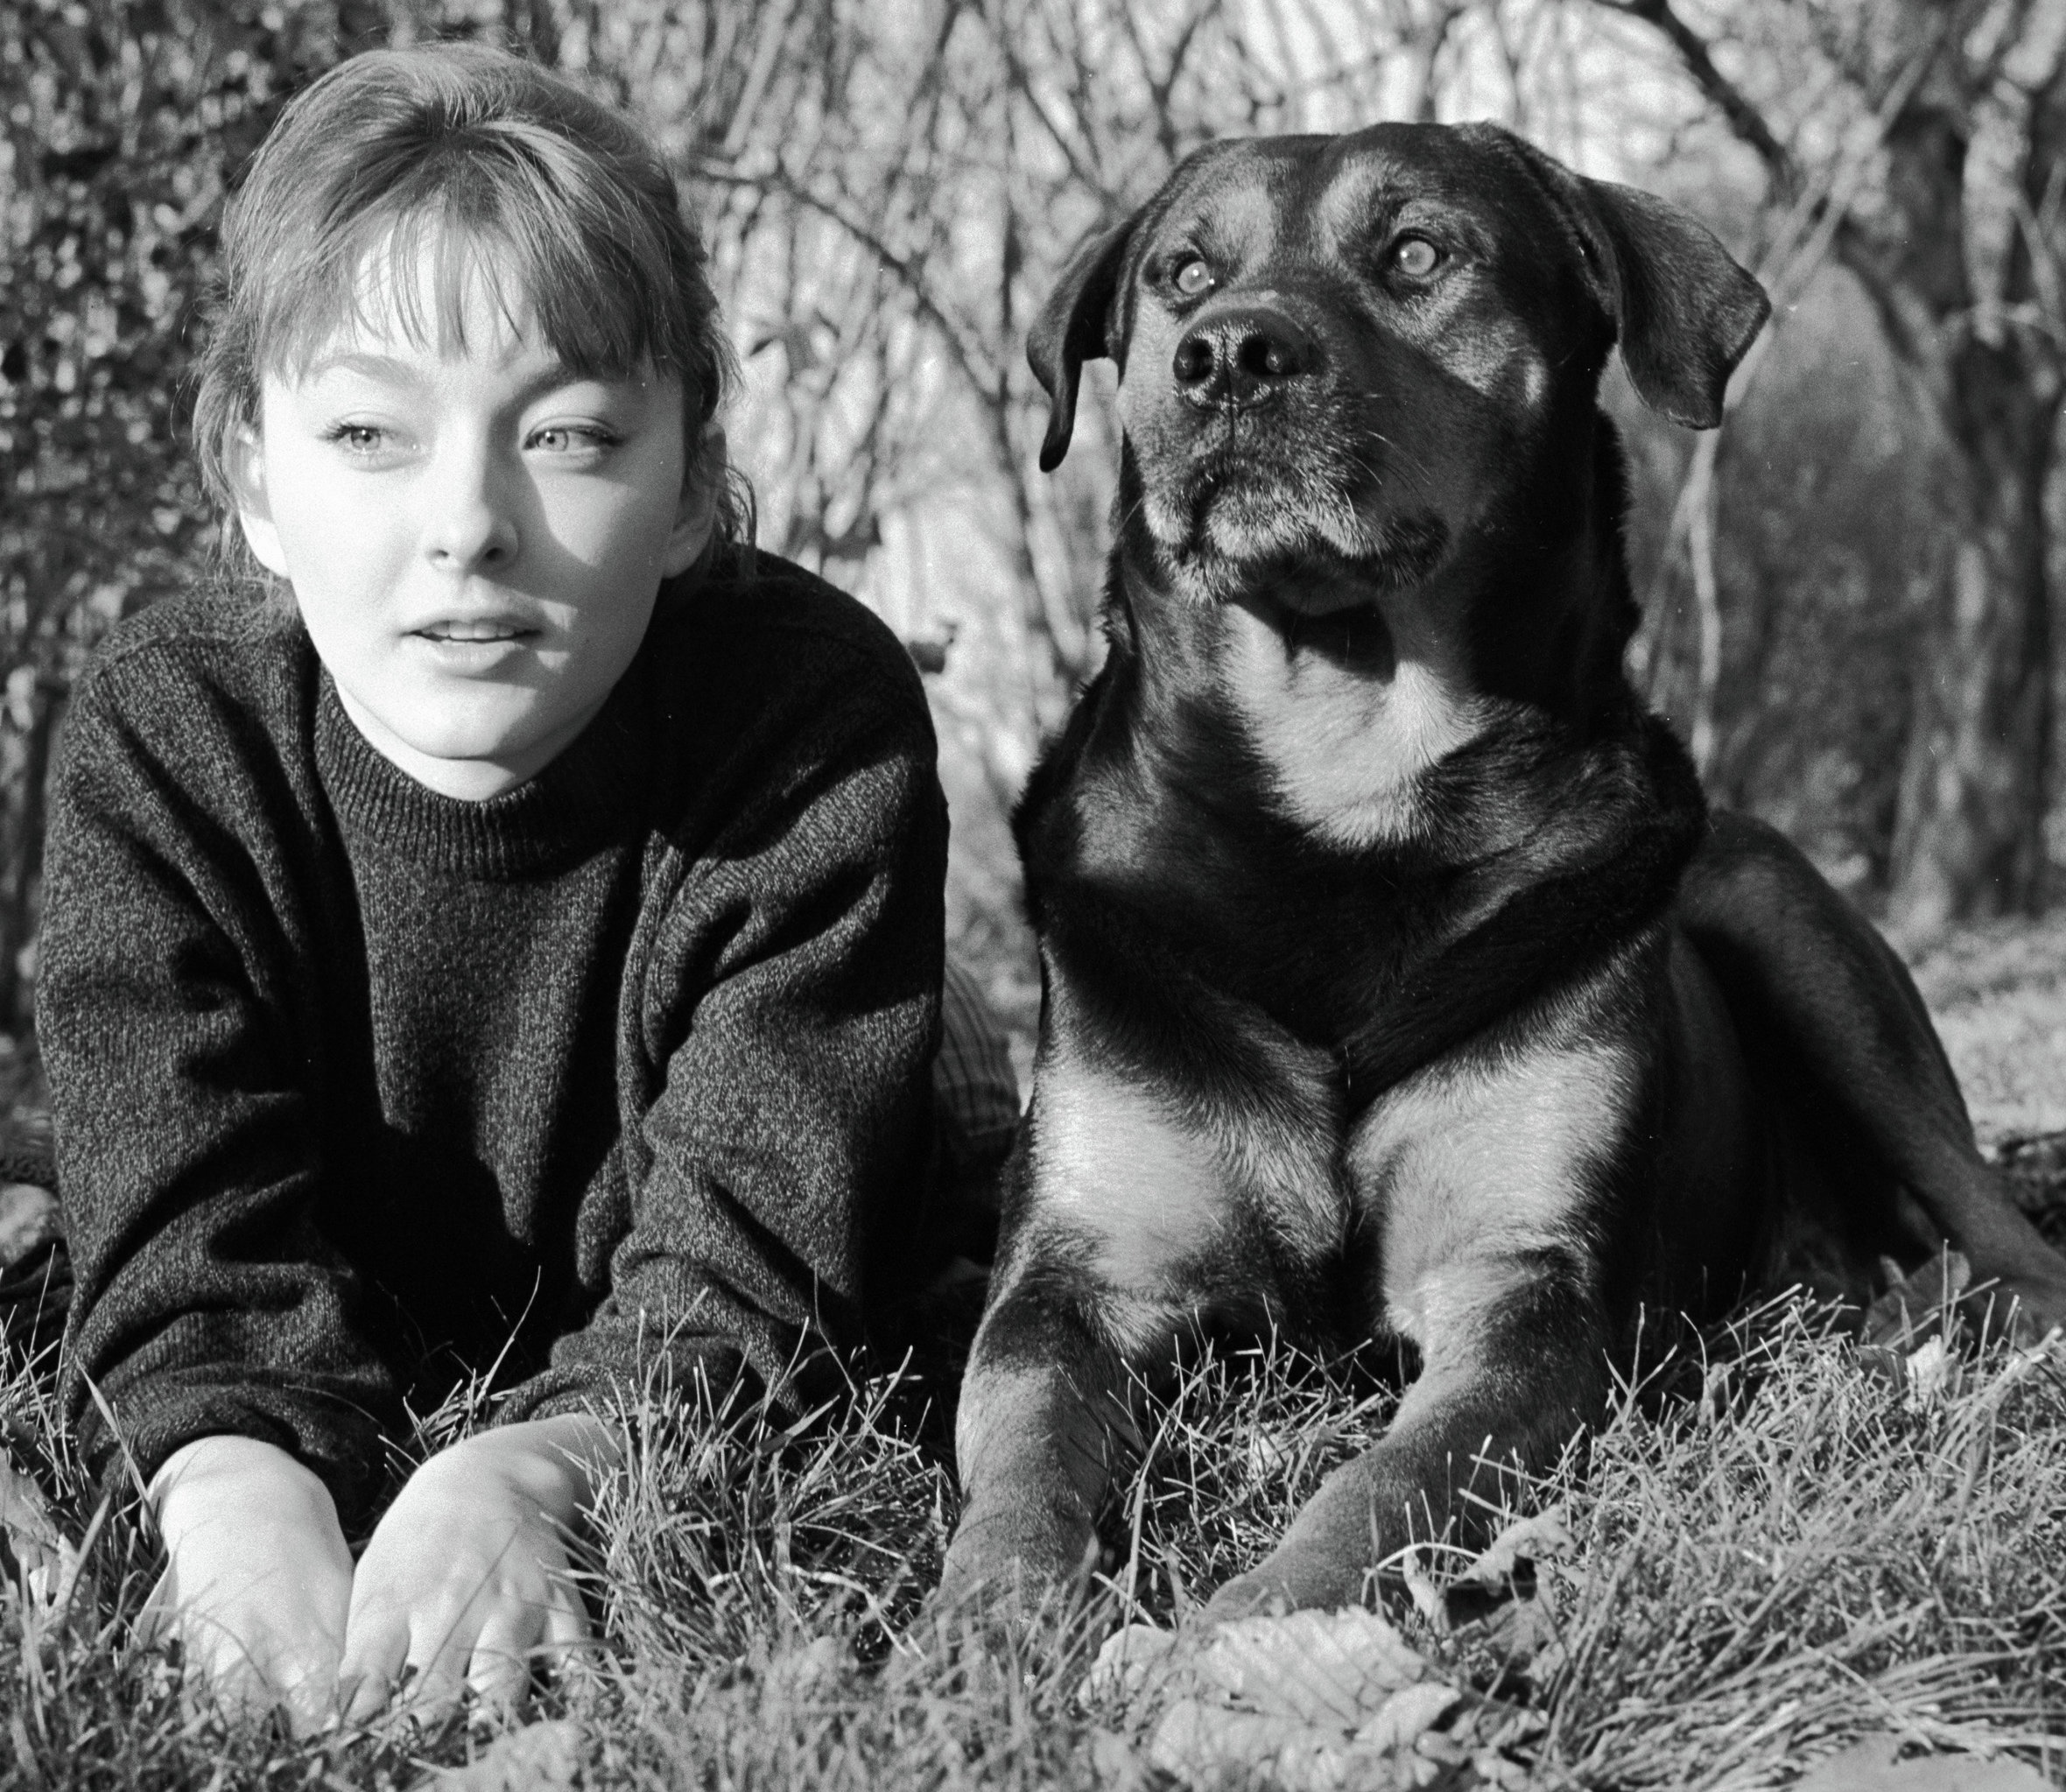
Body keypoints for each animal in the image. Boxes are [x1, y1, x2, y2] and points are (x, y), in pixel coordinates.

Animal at [941, 121, 2066, 1622]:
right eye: (1182, 273)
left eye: (1420, 252)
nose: (1227, 353)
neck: (1345, 795)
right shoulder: (1073, 1273)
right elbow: (1018, 1450)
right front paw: (982, 1626)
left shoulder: (1526, 1288)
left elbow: (1384, 1481)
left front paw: (1247, 1621)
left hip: (1796, 927)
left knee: (2016, 1252)